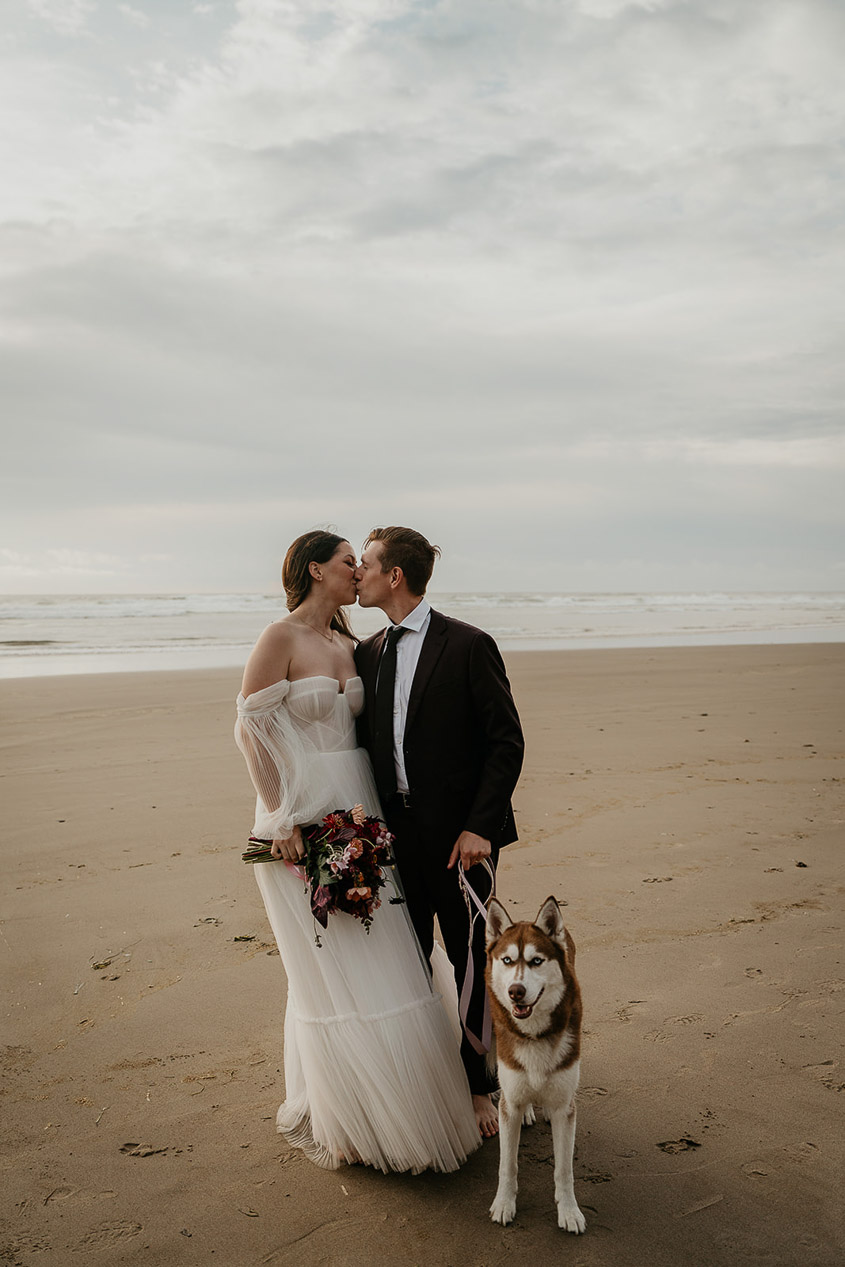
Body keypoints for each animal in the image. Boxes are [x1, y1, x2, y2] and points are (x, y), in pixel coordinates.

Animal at [486, 897, 585, 1231]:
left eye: (536, 961)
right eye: (507, 960)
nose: (516, 991)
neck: (534, 1035)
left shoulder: (565, 1107)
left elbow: (564, 1170)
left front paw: (569, 1210)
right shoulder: (509, 1104)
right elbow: (507, 1164)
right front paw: (504, 1203)